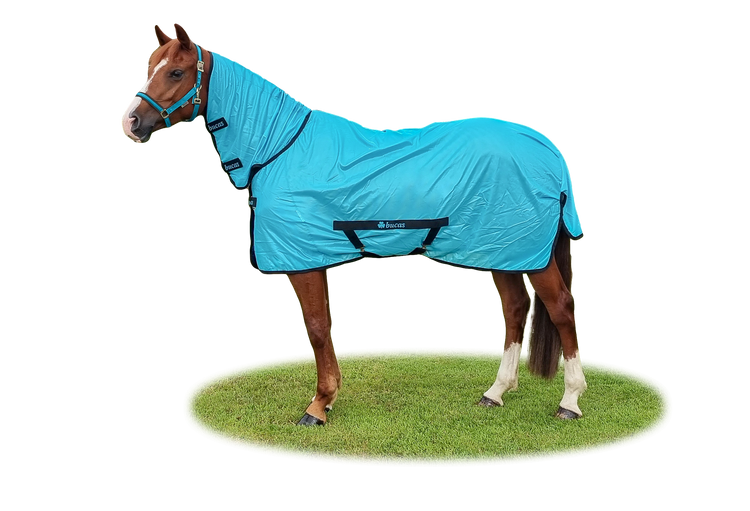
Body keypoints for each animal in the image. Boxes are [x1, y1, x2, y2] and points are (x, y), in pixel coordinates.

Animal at [120, 21, 587, 425]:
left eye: (176, 71)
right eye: (149, 67)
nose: (130, 123)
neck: (281, 148)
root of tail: (547, 147)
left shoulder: (304, 261)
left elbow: (317, 330)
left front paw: (318, 406)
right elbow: (323, 329)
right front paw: (326, 399)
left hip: (524, 252)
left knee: (561, 309)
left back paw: (569, 401)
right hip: (501, 248)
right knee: (515, 308)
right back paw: (496, 392)